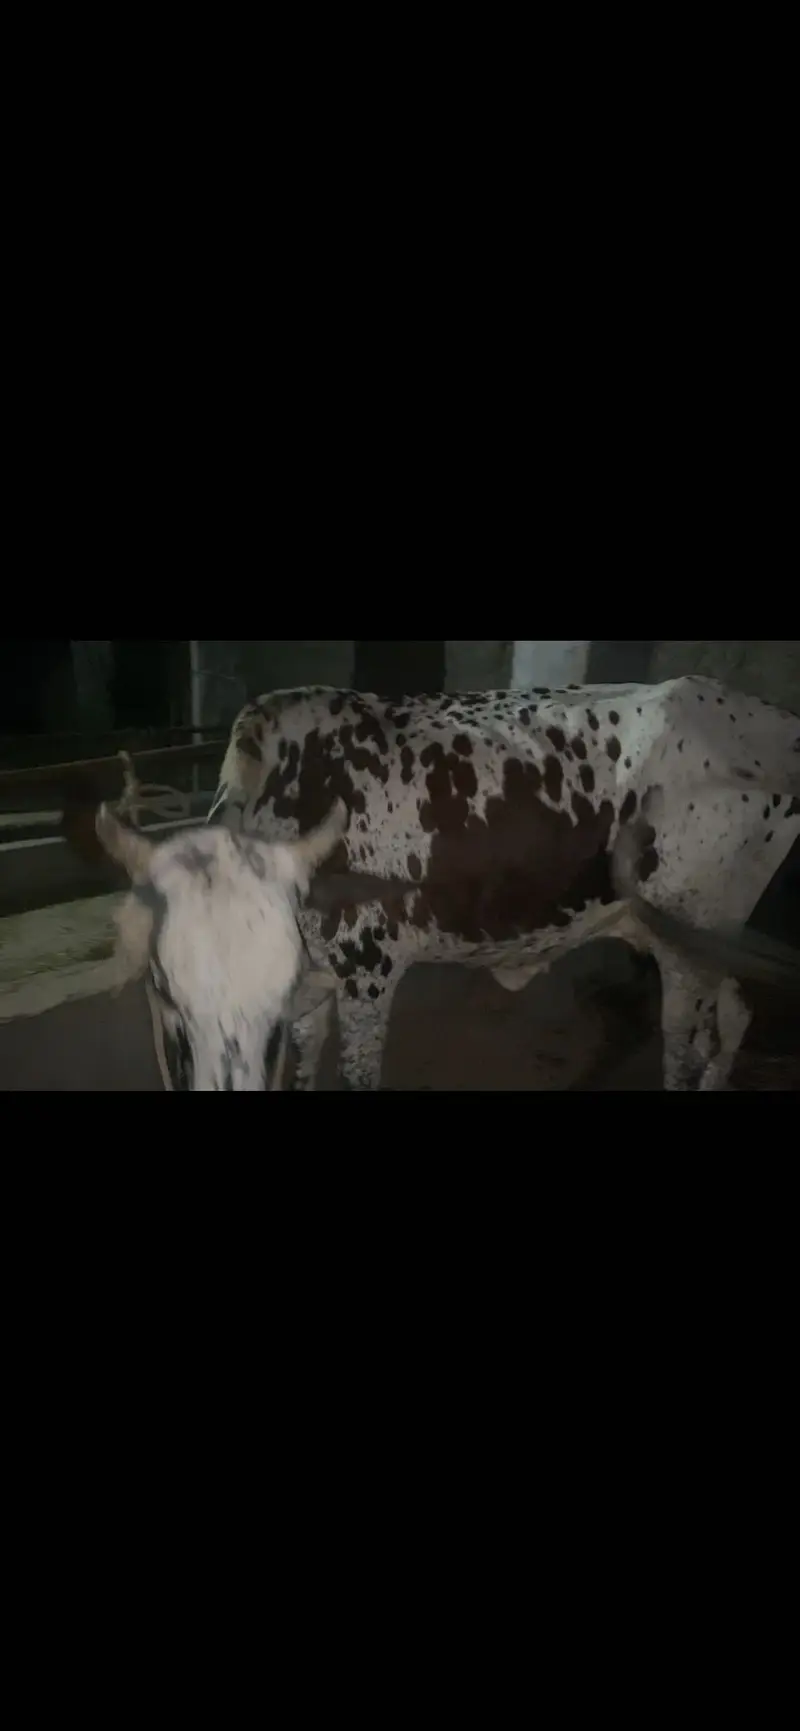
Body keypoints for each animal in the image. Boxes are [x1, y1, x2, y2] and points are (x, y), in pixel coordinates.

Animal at [94, 678, 800, 1091]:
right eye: (165, 988)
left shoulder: (368, 972)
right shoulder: (317, 984)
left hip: (688, 939)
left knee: (683, 1050)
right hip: (705, 934)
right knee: (731, 1017)